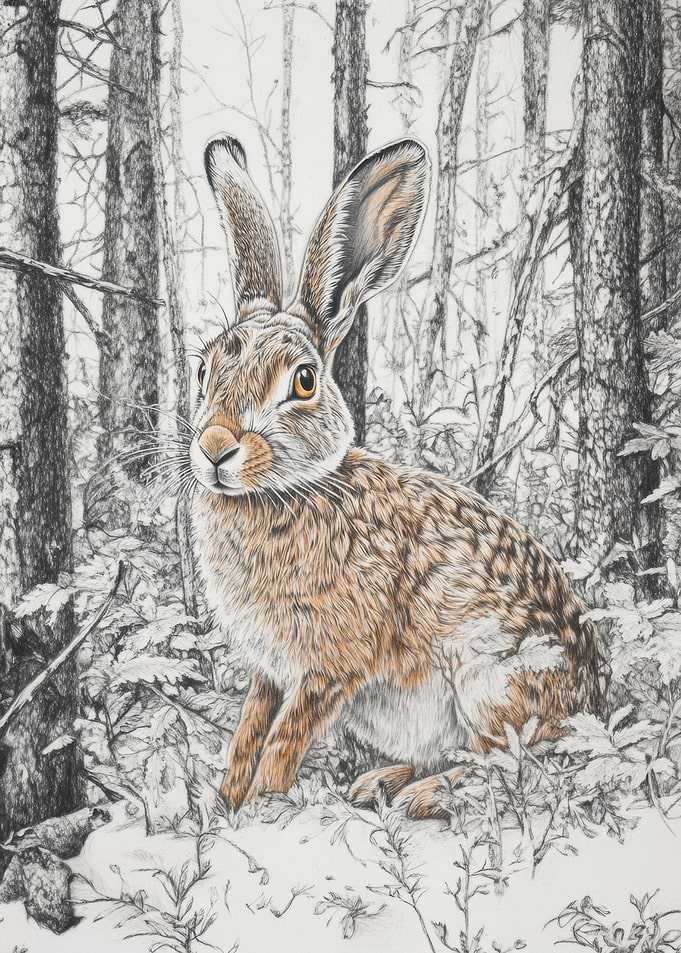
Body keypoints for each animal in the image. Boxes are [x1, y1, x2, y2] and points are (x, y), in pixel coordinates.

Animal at [190, 134, 602, 819]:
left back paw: (421, 795)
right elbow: (249, 730)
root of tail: (590, 703)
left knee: (517, 766)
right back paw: (379, 783)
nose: (216, 447)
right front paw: (224, 804)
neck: (285, 493)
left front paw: (264, 808)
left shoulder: (329, 666)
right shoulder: (270, 670)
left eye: (304, 380)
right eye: (203, 368)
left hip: (489, 680)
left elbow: (284, 741)